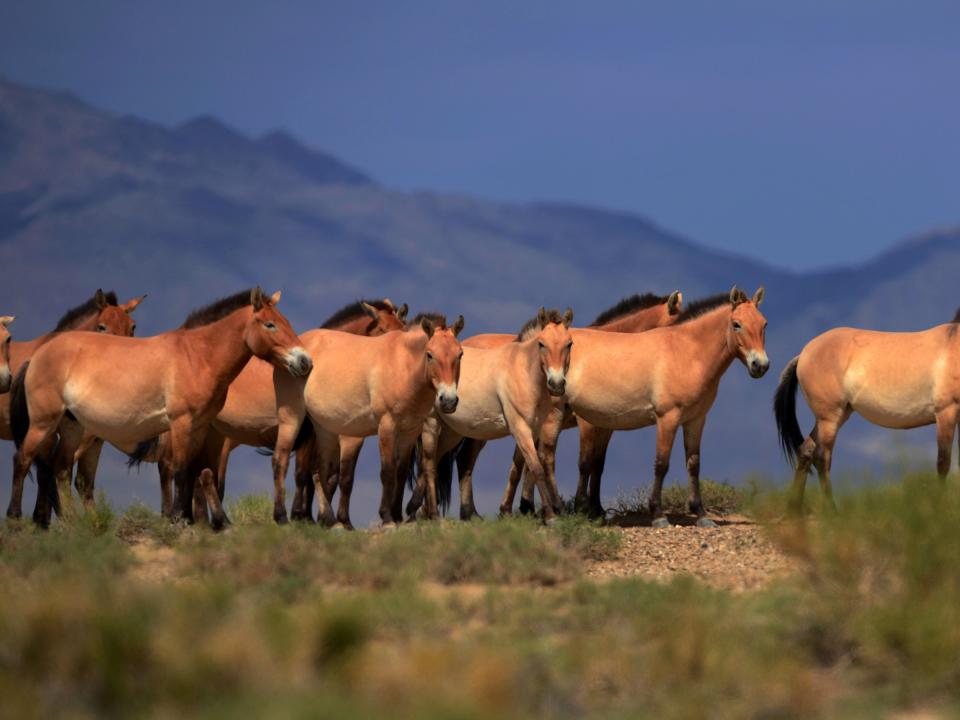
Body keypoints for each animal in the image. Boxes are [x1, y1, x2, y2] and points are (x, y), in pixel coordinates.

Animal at [9, 286, 310, 528]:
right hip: (44, 424)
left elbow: (197, 470)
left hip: (72, 426)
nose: (305, 361)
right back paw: (16, 518)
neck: (197, 356)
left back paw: (75, 523)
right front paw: (178, 517)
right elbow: (180, 469)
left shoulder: (200, 427)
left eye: (286, 322)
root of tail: (38, 355)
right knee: (24, 460)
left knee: (61, 469)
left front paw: (198, 519)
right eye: (270, 324)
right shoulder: (181, 422)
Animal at [272, 312, 464, 524]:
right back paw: (281, 516)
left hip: (325, 429)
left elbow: (400, 471)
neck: (402, 366)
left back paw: (329, 520)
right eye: (430, 354)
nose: (448, 400)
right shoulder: (387, 426)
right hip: (292, 418)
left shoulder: (410, 431)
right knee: (281, 460)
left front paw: (397, 515)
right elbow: (387, 471)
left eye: (460, 354)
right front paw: (387, 517)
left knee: (319, 470)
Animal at [564, 286, 772, 528]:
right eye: (737, 324)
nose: (760, 365)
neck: (686, 353)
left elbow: (693, 464)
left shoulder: (696, 419)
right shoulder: (667, 418)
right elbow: (661, 464)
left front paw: (700, 513)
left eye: (764, 324)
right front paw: (658, 514)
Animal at [772, 306, 960, 516]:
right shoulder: (946, 412)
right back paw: (832, 511)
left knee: (806, 450)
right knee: (821, 457)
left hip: (834, 417)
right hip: (829, 418)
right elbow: (943, 462)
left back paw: (794, 509)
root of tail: (803, 354)